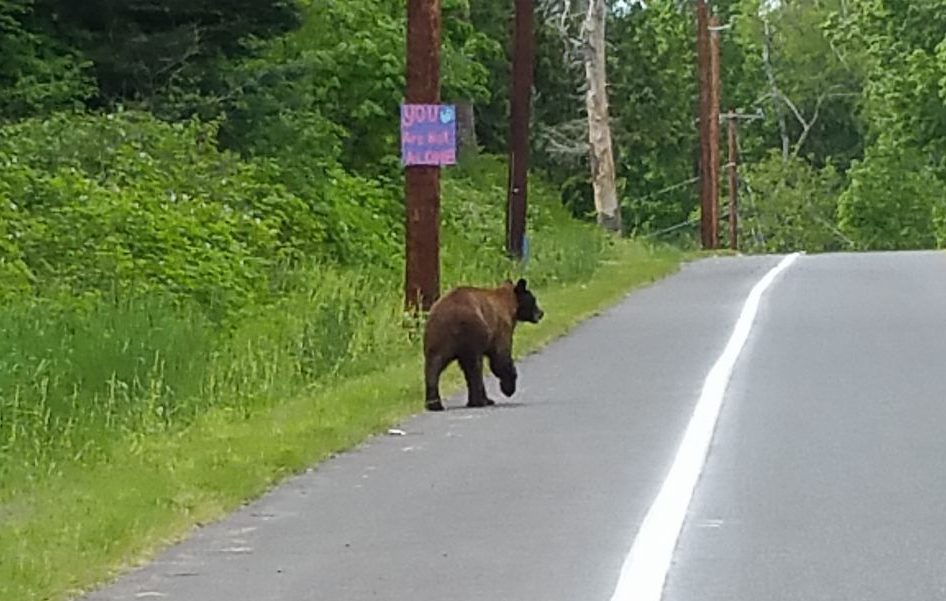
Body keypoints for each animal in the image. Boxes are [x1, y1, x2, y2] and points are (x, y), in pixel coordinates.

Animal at [422, 278, 544, 411]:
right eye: (534, 299)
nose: (541, 313)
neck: (510, 305)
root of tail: (450, 315)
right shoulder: (501, 328)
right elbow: (501, 358)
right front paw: (509, 387)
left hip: (436, 338)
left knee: (433, 367)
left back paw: (434, 404)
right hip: (472, 332)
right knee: (474, 367)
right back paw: (479, 401)